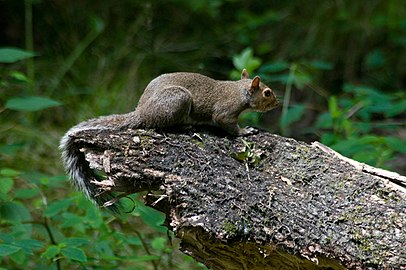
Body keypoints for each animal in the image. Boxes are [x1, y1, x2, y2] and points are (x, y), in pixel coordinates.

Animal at [60, 69, 280, 207]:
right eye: (267, 93)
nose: (277, 103)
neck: (240, 91)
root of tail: (142, 112)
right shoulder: (225, 113)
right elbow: (228, 125)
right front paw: (245, 131)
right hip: (178, 100)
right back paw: (186, 126)